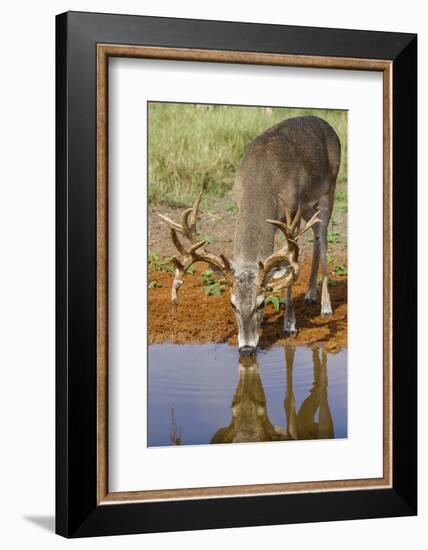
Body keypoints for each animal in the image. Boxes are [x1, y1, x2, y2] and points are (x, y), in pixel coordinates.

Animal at [158, 117, 342, 358]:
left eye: (261, 304)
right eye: (232, 304)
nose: (246, 348)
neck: (263, 181)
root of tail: (326, 123)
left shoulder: (292, 211)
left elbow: (289, 266)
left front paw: (289, 325)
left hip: (329, 188)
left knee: (323, 238)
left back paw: (326, 307)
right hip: (309, 206)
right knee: (317, 236)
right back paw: (310, 294)